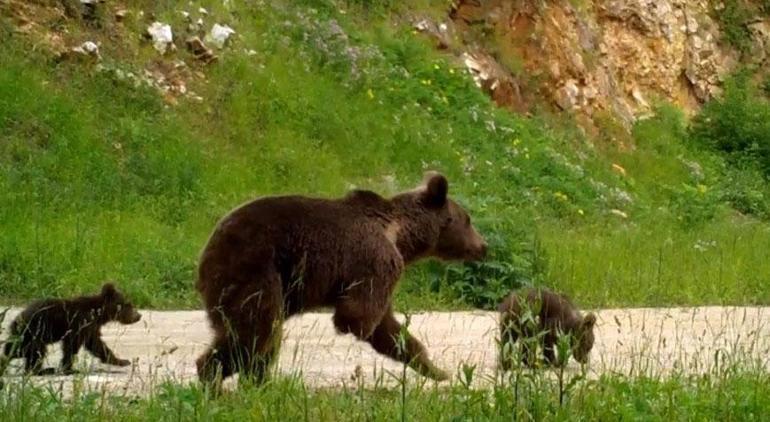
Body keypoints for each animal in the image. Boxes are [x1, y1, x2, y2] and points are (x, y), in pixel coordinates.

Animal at [198, 171, 486, 386]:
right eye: (467, 220)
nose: (484, 246)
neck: (401, 235)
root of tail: (207, 249)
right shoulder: (377, 262)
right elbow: (358, 318)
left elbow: (389, 329)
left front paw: (437, 370)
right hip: (254, 268)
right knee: (256, 331)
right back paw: (220, 376)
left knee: (258, 337)